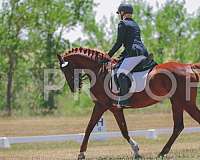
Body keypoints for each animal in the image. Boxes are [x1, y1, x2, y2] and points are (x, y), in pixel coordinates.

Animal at [56, 47, 200, 159]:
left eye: (66, 69)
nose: (74, 88)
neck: (99, 71)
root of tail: (189, 66)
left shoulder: (104, 106)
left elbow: (92, 127)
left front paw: (81, 154)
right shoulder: (111, 107)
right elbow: (118, 130)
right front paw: (136, 152)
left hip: (185, 102)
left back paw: (162, 152)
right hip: (176, 102)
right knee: (178, 126)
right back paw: (162, 153)